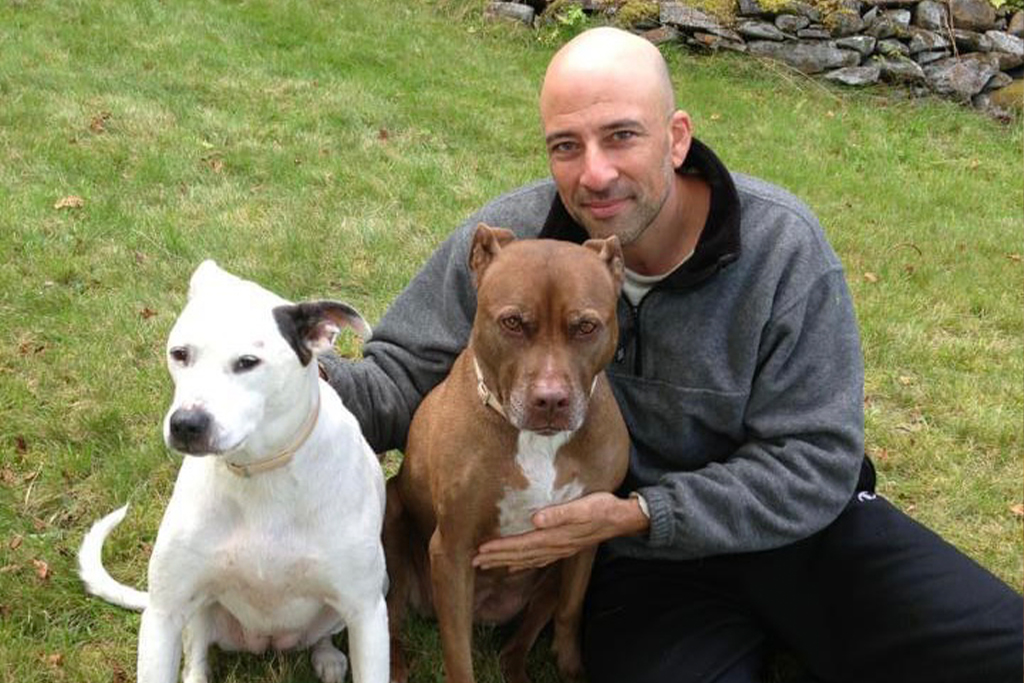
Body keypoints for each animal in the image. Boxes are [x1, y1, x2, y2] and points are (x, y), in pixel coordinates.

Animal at [76, 262, 387, 683]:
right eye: (180, 354)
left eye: (248, 362)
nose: (186, 424)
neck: (261, 473)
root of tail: (268, 643)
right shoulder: (164, 614)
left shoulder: (367, 612)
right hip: (198, 612)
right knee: (196, 657)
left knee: (323, 635)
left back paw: (327, 657)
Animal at [385, 224, 630, 683]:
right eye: (513, 322)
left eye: (586, 327)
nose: (550, 400)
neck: (538, 441)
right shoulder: (452, 551)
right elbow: (458, 657)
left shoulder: (584, 534)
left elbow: (571, 610)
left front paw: (572, 669)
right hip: (391, 521)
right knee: (387, 618)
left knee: (516, 645)